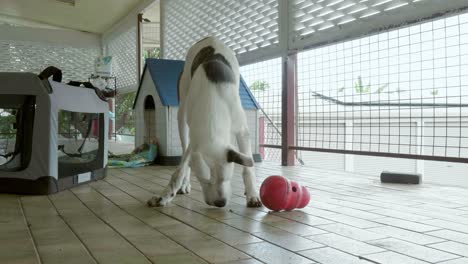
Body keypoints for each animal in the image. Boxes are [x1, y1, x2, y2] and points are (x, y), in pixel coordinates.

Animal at [148, 37, 262, 207]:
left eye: (226, 178)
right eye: (205, 180)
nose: (220, 203)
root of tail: (209, 38)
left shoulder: (242, 131)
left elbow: (249, 167)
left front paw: (253, 194)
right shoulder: (194, 138)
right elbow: (181, 168)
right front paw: (166, 195)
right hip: (182, 113)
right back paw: (185, 184)